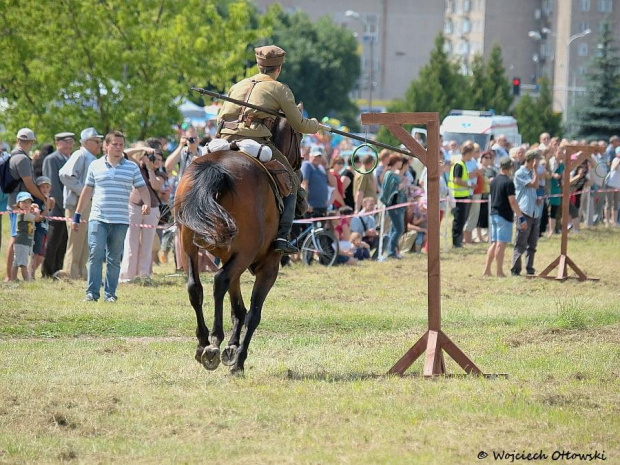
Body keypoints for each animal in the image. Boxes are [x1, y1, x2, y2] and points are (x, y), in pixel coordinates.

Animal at [174, 112, 302, 374]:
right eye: (298, 136)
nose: (300, 161)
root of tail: (217, 168)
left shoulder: (231, 259)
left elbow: (238, 309)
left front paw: (232, 348)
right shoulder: (267, 267)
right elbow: (253, 314)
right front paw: (238, 359)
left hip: (188, 244)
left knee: (195, 286)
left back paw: (203, 342)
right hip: (245, 254)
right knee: (218, 281)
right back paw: (214, 342)